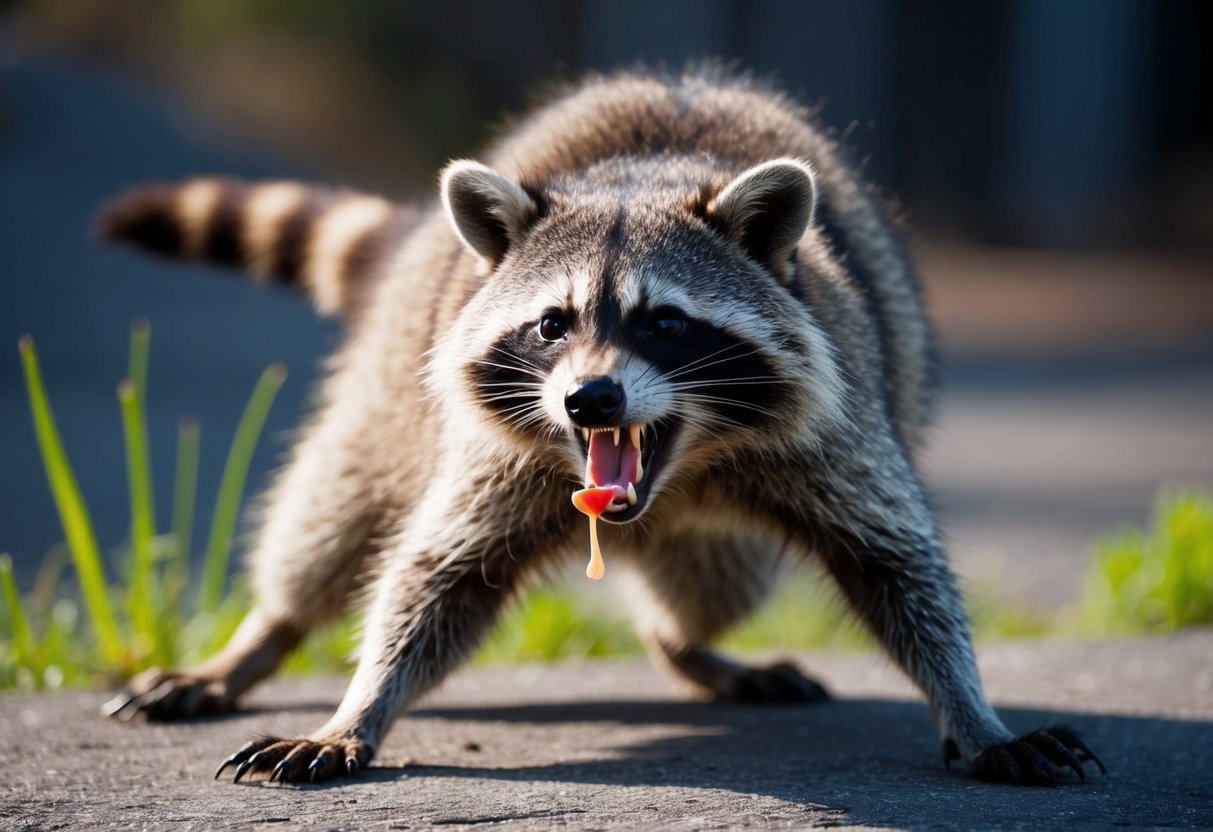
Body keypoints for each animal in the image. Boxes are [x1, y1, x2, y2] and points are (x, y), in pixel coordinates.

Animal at [98, 67, 1103, 787]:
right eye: (553, 324)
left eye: (665, 322)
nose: (591, 402)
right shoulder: (499, 452)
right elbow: (434, 576)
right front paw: (357, 709)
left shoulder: (838, 419)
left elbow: (897, 566)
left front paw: (973, 713)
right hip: (388, 384)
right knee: (331, 515)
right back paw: (261, 635)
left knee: (717, 585)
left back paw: (687, 645)